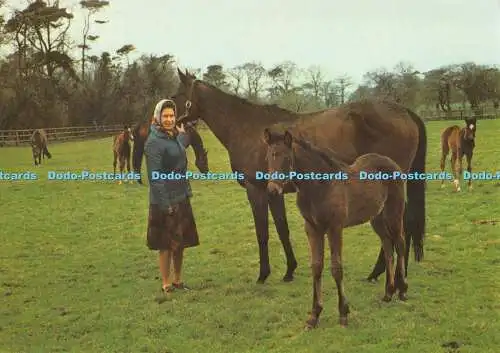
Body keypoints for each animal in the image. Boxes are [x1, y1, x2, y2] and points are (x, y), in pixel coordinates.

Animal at [157, 68, 426, 284]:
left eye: (177, 95)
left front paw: (263, 274)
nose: (165, 117)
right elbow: (282, 229)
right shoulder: (273, 191)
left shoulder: (256, 190)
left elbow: (263, 233)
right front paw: (289, 270)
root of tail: (404, 111)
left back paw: (382, 273)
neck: (246, 128)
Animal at [264, 130, 408, 330]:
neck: (320, 187)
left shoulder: (335, 228)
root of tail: (392, 163)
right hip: (376, 218)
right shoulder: (312, 229)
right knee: (387, 246)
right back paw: (388, 293)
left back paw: (402, 291)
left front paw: (343, 313)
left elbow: (336, 268)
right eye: (268, 157)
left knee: (400, 244)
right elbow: (316, 267)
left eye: (286, 158)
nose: (272, 190)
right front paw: (314, 315)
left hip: (394, 213)